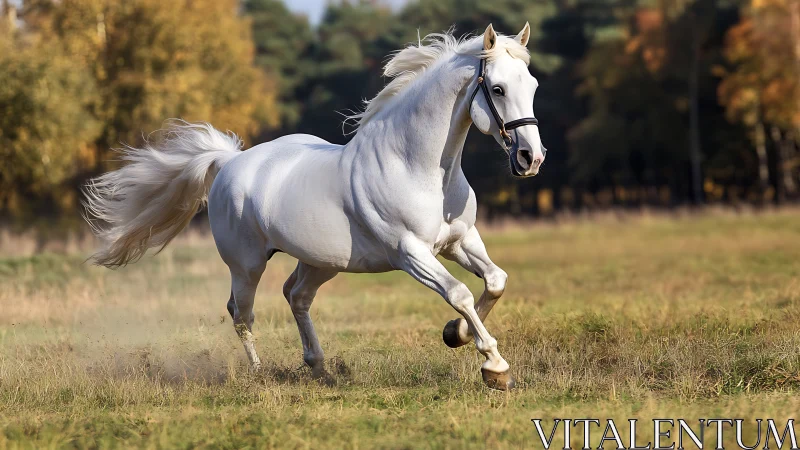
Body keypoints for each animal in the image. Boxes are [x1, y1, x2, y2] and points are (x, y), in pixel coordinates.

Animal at [84, 24, 545, 390]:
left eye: (533, 86)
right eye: (498, 89)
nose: (531, 158)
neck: (418, 167)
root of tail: (229, 162)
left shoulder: (459, 241)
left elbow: (495, 281)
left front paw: (456, 334)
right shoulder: (411, 253)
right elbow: (460, 292)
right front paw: (495, 367)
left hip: (321, 261)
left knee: (296, 296)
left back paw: (319, 367)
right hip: (247, 265)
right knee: (242, 313)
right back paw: (260, 375)